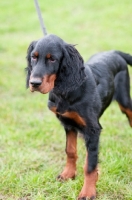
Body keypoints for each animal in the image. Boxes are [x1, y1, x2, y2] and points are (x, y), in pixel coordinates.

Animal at [25, 33, 132, 199]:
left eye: (52, 59)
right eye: (33, 57)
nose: (34, 83)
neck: (67, 91)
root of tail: (115, 52)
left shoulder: (93, 130)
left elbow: (90, 165)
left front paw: (88, 191)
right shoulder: (68, 124)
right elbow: (70, 151)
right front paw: (68, 174)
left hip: (125, 100)